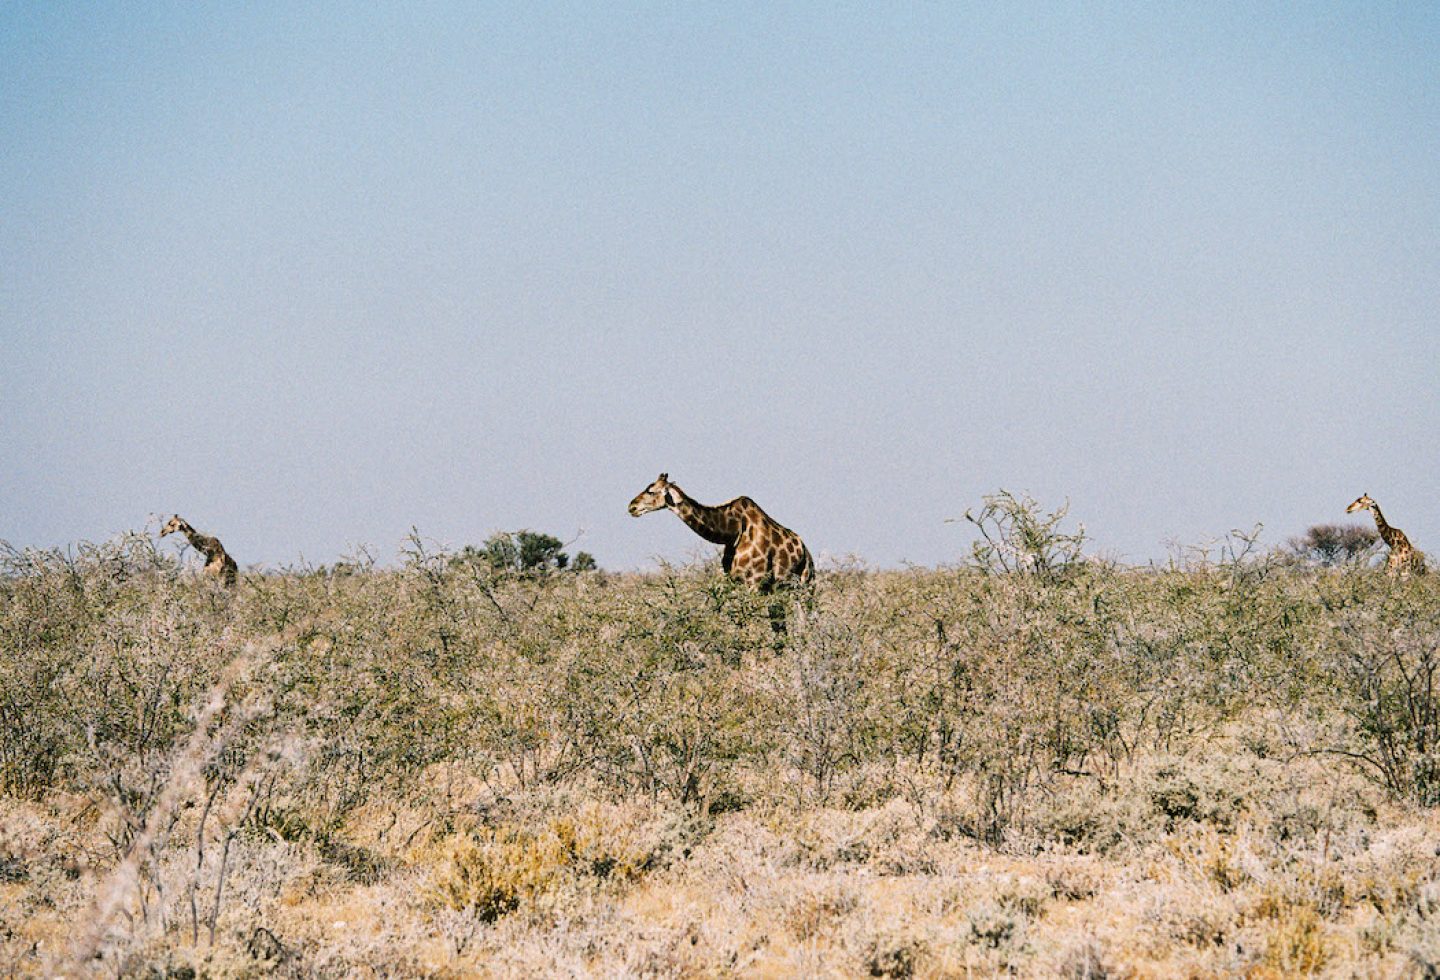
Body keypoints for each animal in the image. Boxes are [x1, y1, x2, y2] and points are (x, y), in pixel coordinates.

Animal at [627, 472, 817, 592]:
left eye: (651, 491)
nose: (631, 507)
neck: (733, 532)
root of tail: (807, 552)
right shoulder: (732, 579)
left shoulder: (755, 581)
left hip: (806, 584)